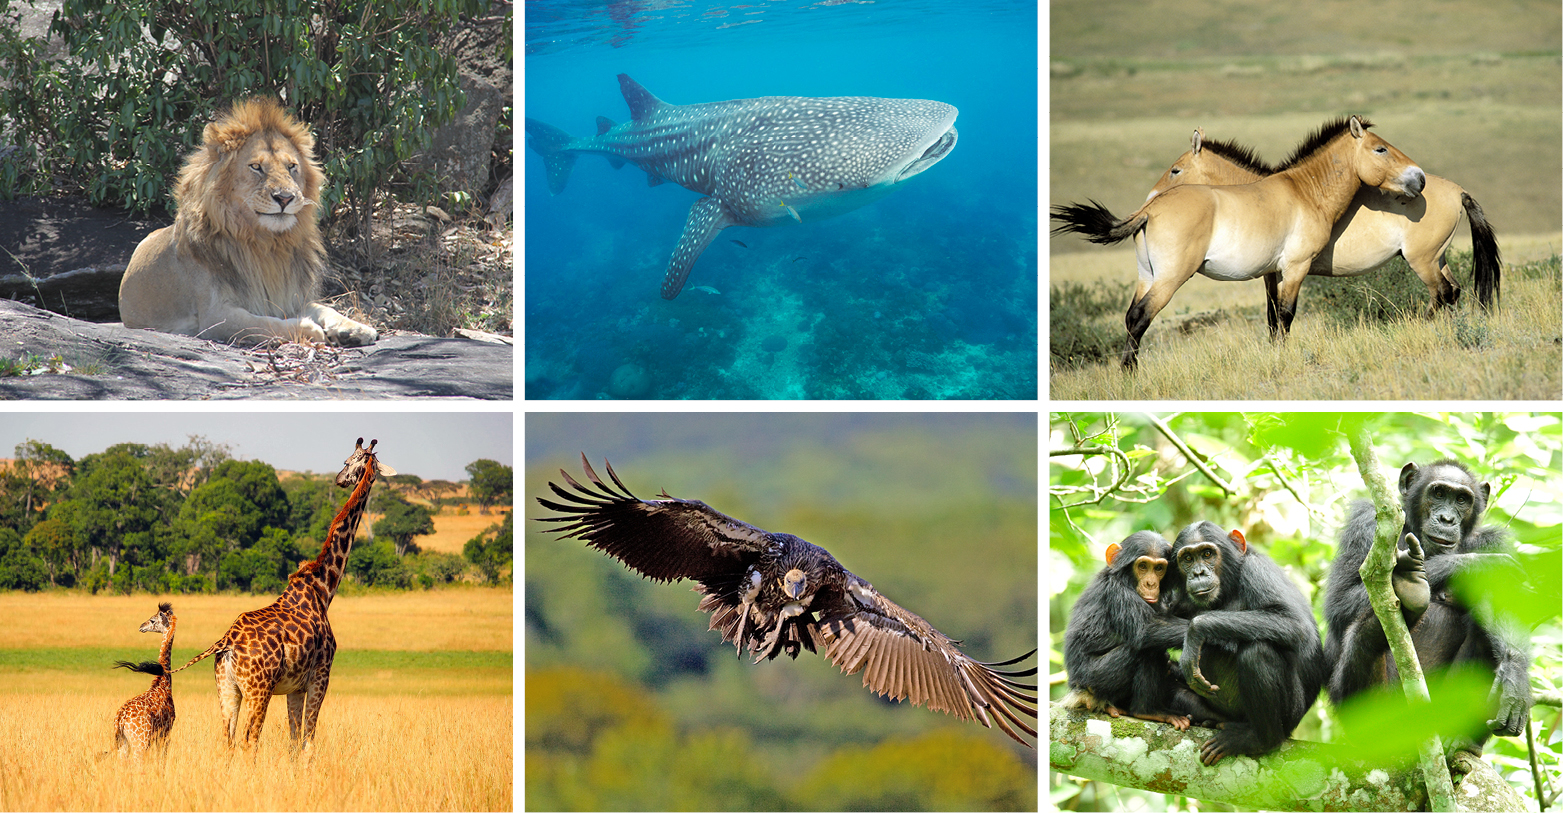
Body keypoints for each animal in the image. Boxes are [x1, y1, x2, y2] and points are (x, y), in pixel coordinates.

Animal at [119, 98, 377, 346]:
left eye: (292, 166)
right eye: (256, 167)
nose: (285, 198)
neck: (268, 245)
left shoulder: (289, 297)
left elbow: (326, 309)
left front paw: (357, 329)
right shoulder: (216, 317)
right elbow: (265, 323)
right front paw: (309, 329)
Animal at [1051, 116, 1427, 370]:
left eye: (1175, 170)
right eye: (1381, 149)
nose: (1419, 178)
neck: (1304, 192)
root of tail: (1150, 211)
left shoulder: (1271, 273)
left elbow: (1273, 317)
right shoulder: (1294, 268)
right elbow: (1286, 315)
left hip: (1147, 276)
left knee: (1131, 316)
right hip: (1169, 279)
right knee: (1141, 317)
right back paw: (1131, 375)